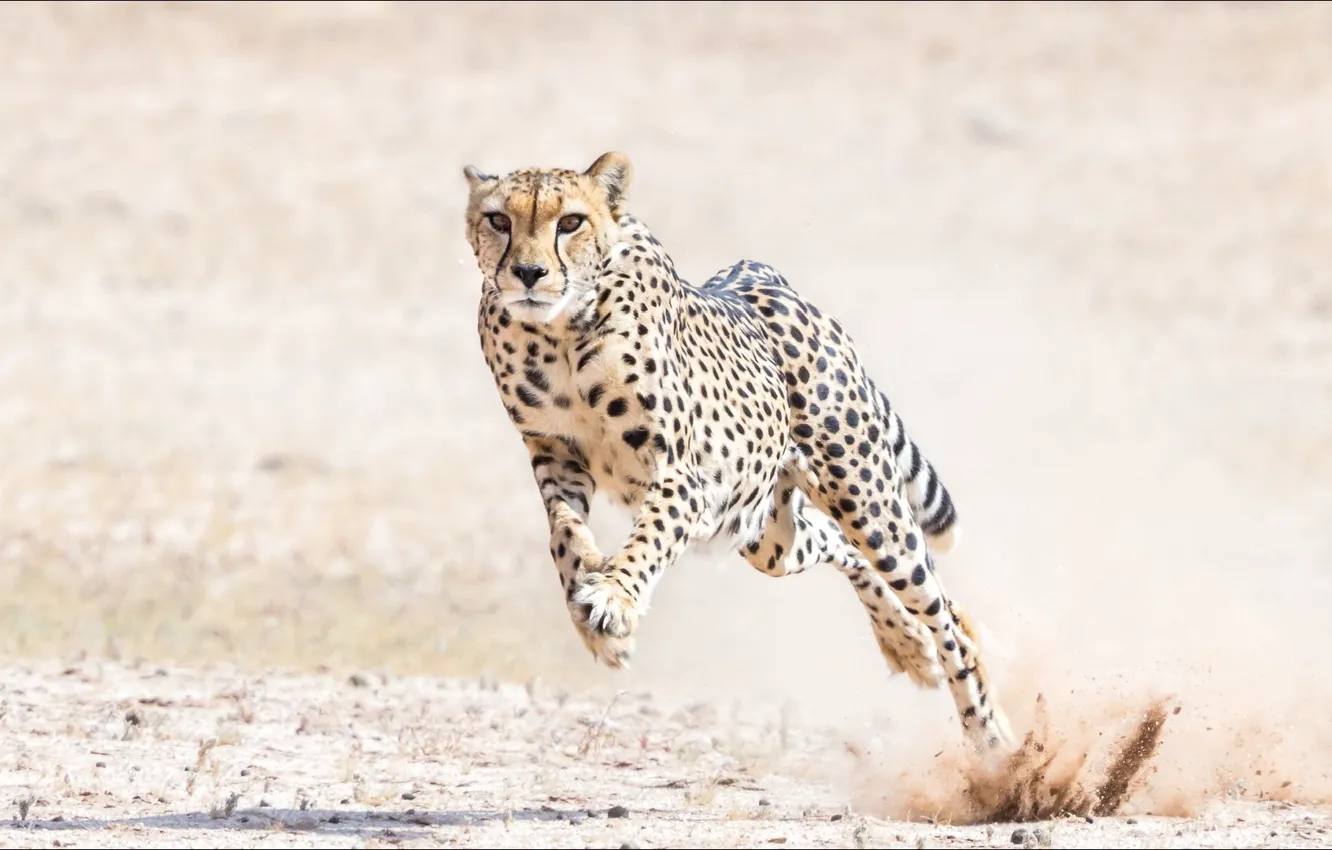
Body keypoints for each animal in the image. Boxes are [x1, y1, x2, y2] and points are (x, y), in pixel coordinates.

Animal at [463, 151, 1017, 752]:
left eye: (570, 222)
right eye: (499, 220)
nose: (529, 274)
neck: (558, 330)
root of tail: (765, 276)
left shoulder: (681, 475)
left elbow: (649, 536)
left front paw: (613, 597)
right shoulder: (556, 456)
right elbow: (564, 536)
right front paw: (594, 604)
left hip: (867, 503)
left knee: (946, 614)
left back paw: (990, 734)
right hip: (764, 533)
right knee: (835, 544)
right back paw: (908, 645)